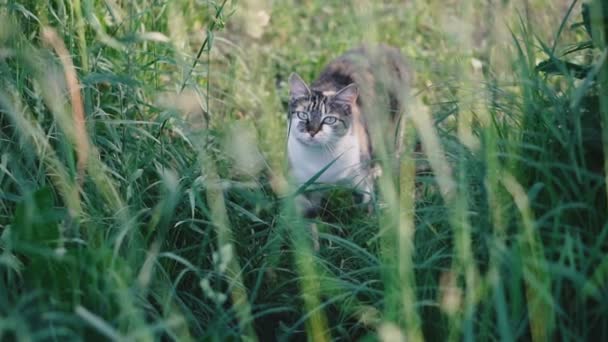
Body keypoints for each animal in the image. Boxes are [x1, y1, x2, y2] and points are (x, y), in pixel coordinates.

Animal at [286, 44, 410, 218]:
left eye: (330, 119)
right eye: (303, 115)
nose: (312, 131)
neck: (320, 157)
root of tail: (389, 47)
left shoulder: (361, 177)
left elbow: (365, 205)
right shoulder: (303, 183)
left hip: (392, 128)